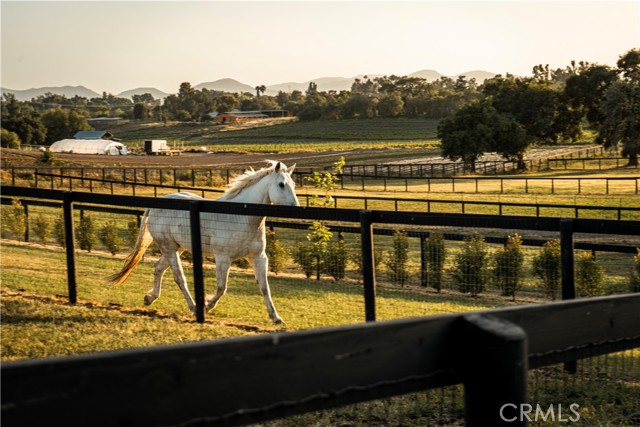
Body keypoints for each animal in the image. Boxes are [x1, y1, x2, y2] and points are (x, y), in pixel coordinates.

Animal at [109, 160, 298, 324]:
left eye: (294, 184)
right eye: (281, 184)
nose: (296, 208)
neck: (240, 217)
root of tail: (155, 206)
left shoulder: (259, 257)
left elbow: (265, 287)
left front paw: (276, 318)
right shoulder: (223, 258)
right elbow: (221, 288)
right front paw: (206, 307)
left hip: (178, 248)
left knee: (158, 268)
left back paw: (149, 298)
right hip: (169, 248)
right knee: (179, 277)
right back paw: (194, 308)